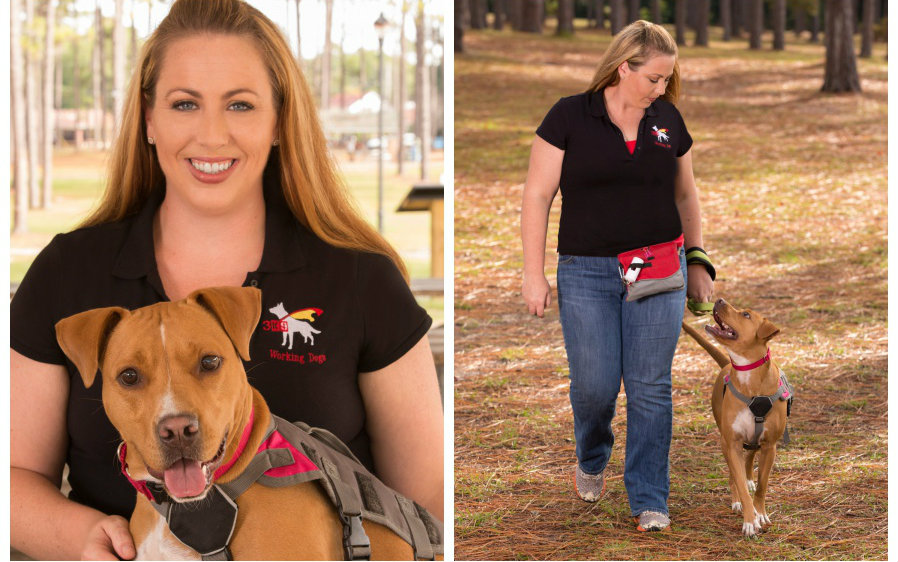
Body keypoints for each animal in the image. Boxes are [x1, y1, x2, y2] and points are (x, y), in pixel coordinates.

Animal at [684, 300, 788, 536]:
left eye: (746, 314)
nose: (719, 300)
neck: (747, 375)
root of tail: (726, 364)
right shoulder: (732, 443)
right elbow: (738, 481)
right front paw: (750, 519)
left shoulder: (770, 446)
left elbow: (762, 485)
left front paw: (761, 513)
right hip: (726, 441)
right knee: (735, 472)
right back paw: (738, 500)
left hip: (754, 441)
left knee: (750, 458)